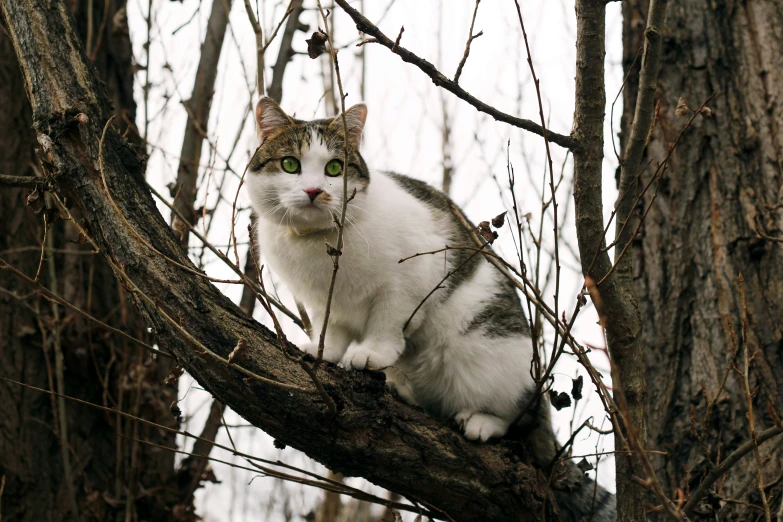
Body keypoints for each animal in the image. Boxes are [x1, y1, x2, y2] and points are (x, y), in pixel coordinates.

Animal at [248, 94, 616, 516]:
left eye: (334, 168)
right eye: (290, 164)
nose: (313, 191)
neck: (318, 245)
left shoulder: (408, 280)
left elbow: (386, 321)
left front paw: (372, 353)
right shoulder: (325, 303)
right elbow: (333, 331)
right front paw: (324, 350)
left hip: (487, 354)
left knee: (517, 417)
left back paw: (481, 421)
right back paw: (404, 388)